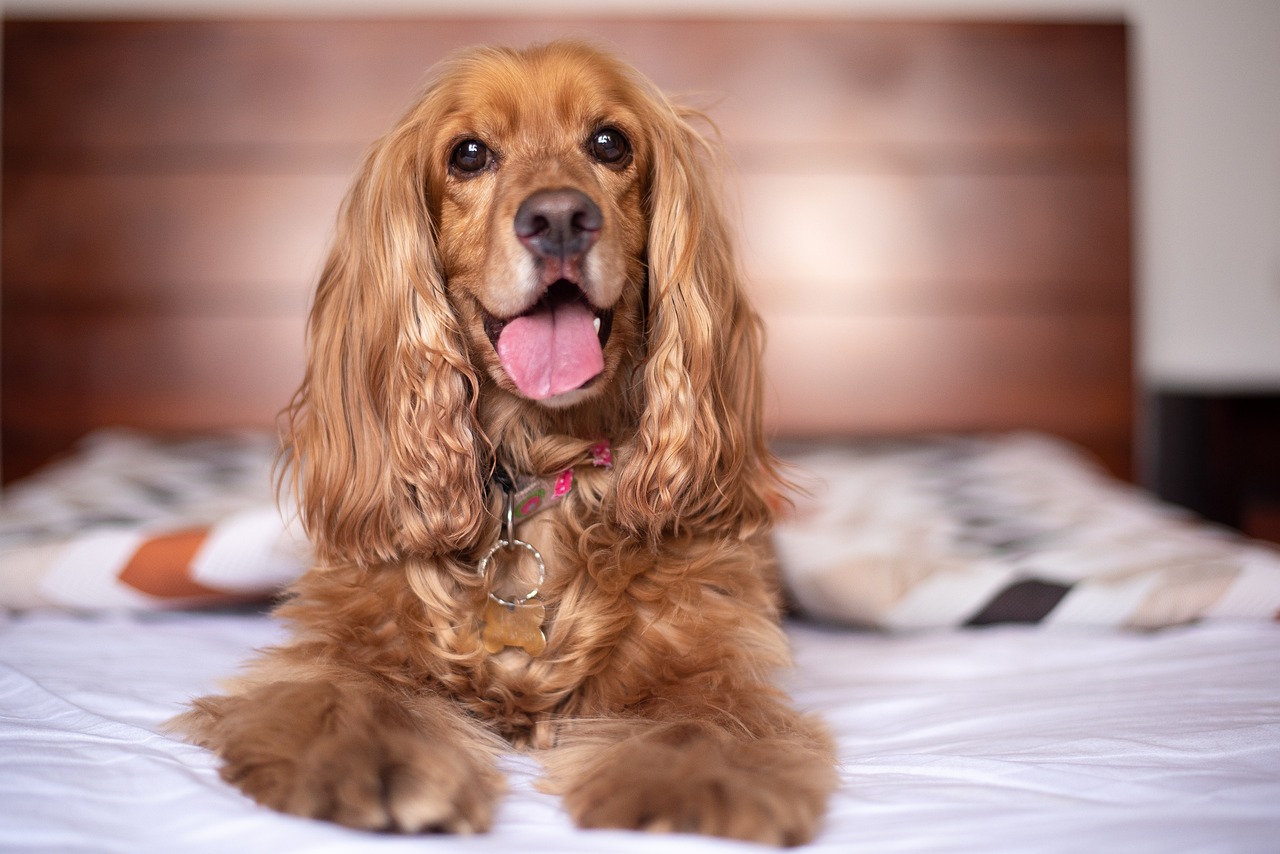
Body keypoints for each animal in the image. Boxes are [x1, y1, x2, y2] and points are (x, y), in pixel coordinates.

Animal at [172, 41, 839, 850]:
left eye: (610, 143)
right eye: (468, 154)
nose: (559, 217)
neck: (539, 464)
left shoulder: (708, 652)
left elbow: (704, 722)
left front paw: (691, 789)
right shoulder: (348, 634)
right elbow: (350, 694)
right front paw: (372, 761)